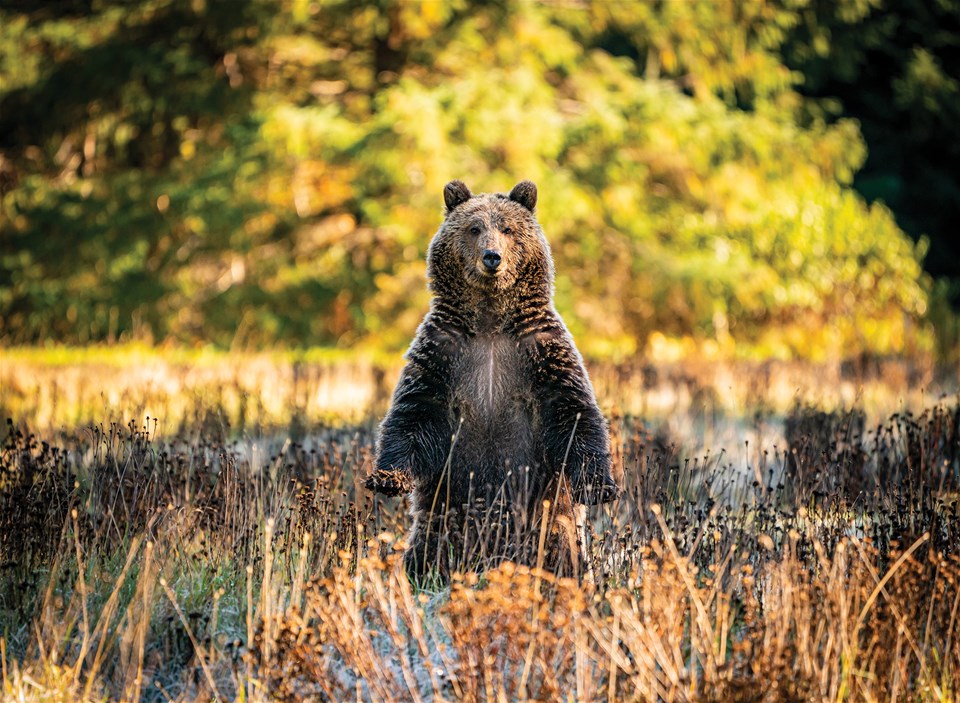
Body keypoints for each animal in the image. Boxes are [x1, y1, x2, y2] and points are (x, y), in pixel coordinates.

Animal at [364, 179, 620, 580]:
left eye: (508, 228)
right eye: (474, 228)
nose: (492, 257)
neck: (490, 321)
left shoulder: (540, 352)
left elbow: (574, 413)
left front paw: (599, 487)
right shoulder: (443, 353)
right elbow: (414, 413)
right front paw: (387, 478)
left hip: (549, 524)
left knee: (563, 556)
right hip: (443, 518)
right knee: (426, 551)